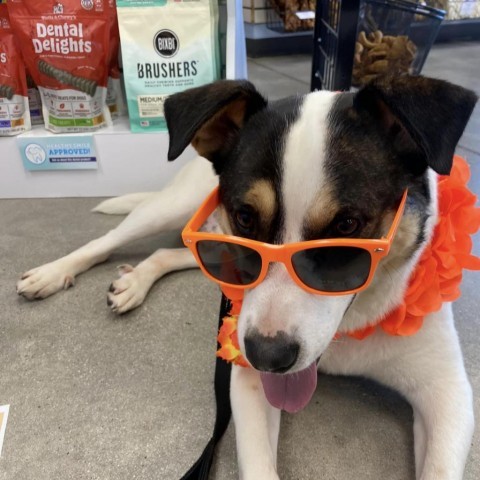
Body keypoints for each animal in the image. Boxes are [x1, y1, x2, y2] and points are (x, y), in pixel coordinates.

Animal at [15, 77, 476, 478]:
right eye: (245, 216)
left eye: (347, 225)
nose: (267, 356)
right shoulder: (247, 376)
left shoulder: (449, 394)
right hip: (182, 213)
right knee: (110, 239)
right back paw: (52, 273)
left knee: (167, 252)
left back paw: (135, 281)